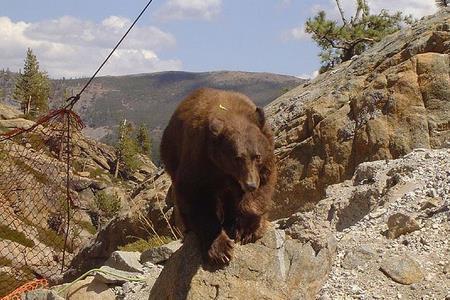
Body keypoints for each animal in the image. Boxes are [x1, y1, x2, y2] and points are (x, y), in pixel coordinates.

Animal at [160, 88, 276, 266]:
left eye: (257, 156)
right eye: (237, 158)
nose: (250, 185)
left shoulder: (265, 151)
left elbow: (263, 185)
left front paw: (248, 229)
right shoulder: (200, 158)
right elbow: (195, 195)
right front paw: (220, 249)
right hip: (172, 154)